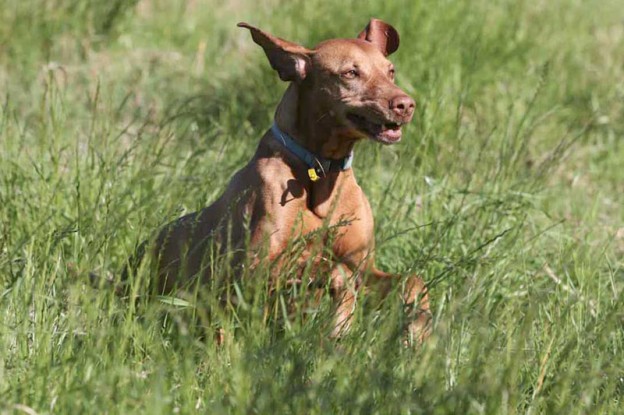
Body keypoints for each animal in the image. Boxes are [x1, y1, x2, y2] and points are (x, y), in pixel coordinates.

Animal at [125, 18, 432, 344]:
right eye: (350, 73)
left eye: (390, 71)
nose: (406, 105)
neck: (321, 172)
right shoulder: (253, 269)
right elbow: (334, 271)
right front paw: (342, 323)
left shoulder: (364, 266)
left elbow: (412, 280)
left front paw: (418, 332)